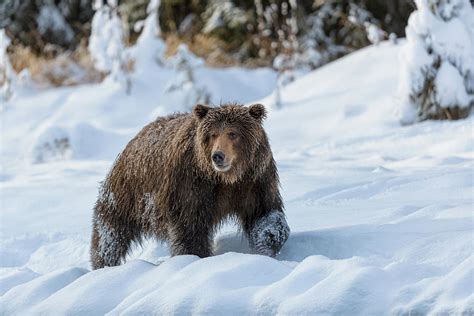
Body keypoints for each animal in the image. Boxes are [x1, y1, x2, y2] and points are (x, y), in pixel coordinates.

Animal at [89, 103, 288, 270]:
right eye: (213, 134)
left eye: (233, 133)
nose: (218, 156)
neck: (227, 178)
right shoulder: (192, 185)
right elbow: (190, 228)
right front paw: (196, 258)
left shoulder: (255, 180)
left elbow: (264, 213)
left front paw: (270, 239)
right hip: (127, 194)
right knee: (110, 233)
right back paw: (103, 264)